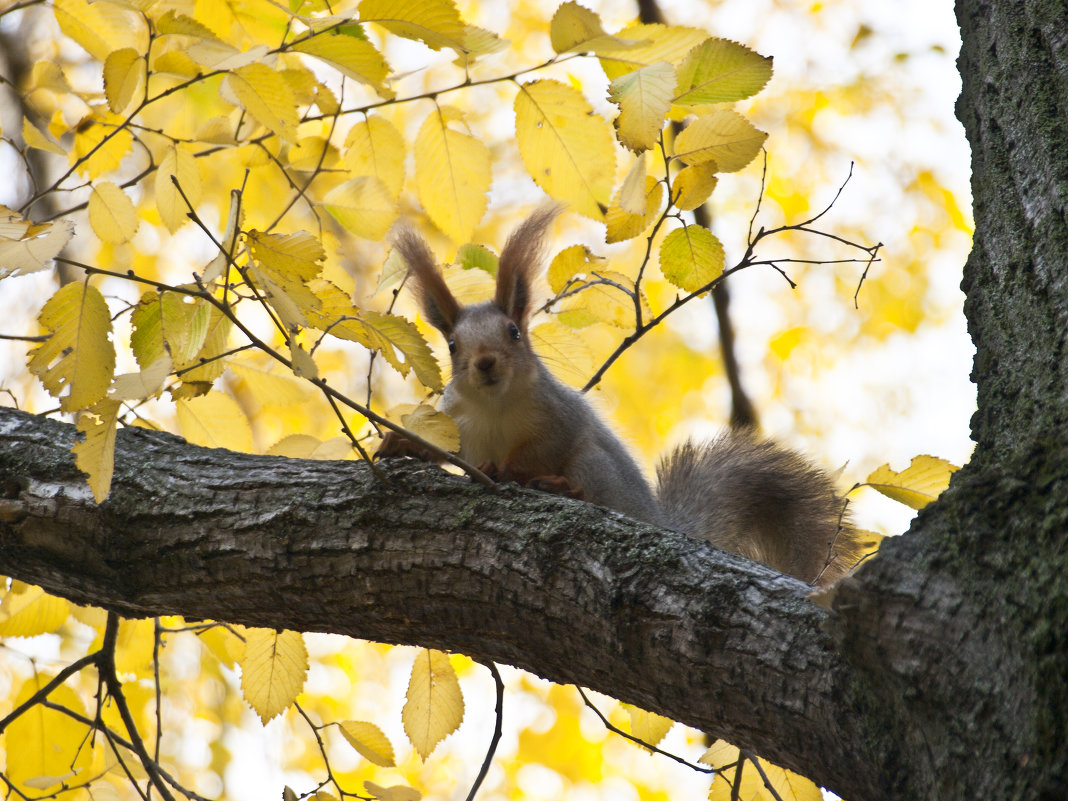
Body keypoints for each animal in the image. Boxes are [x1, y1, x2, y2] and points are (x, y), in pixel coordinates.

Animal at [375, 207, 858, 585]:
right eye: (453, 346)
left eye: (513, 332)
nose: (486, 363)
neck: (494, 406)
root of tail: (656, 520)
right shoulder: (457, 420)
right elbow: (447, 448)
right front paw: (404, 444)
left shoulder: (559, 414)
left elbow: (546, 447)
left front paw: (506, 469)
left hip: (596, 465)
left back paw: (563, 488)